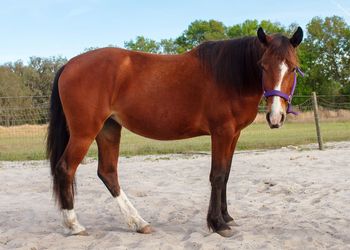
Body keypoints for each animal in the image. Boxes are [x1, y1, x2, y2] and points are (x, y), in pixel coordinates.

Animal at [46, 26, 304, 237]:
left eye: (293, 68)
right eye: (262, 66)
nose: (275, 117)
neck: (231, 75)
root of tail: (69, 64)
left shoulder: (234, 135)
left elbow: (227, 174)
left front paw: (226, 217)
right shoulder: (221, 132)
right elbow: (218, 175)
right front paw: (217, 224)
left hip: (109, 129)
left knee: (108, 173)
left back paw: (138, 222)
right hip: (84, 132)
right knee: (65, 168)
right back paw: (74, 225)